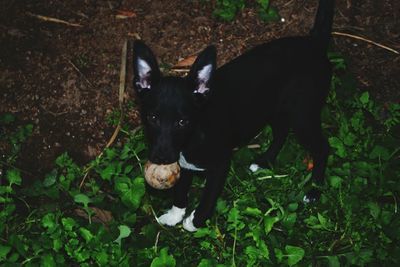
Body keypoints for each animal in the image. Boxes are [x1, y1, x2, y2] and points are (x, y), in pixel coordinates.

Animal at [134, 0, 334, 232]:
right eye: (152, 118)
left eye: (183, 122)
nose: (162, 158)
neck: (197, 132)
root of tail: (314, 43)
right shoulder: (184, 164)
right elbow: (181, 191)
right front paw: (175, 215)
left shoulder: (220, 165)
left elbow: (208, 198)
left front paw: (196, 221)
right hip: (275, 109)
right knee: (282, 132)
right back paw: (264, 161)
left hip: (303, 116)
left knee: (322, 148)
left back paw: (315, 190)